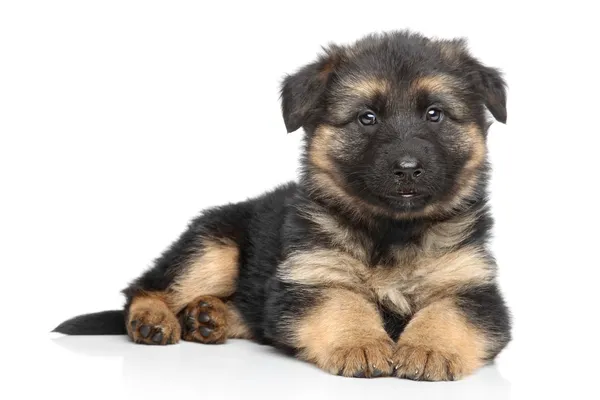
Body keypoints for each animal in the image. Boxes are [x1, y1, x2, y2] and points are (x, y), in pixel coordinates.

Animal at [55, 30, 510, 382]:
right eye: (367, 118)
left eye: (435, 114)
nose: (408, 169)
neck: (391, 230)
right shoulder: (311, 279)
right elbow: (342, 302)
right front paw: (362, 342)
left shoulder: (475, 288)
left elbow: (448, 312)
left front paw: (430, 348)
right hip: (213, 248)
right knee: (142, 288)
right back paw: (154, 319)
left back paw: (207, 318)